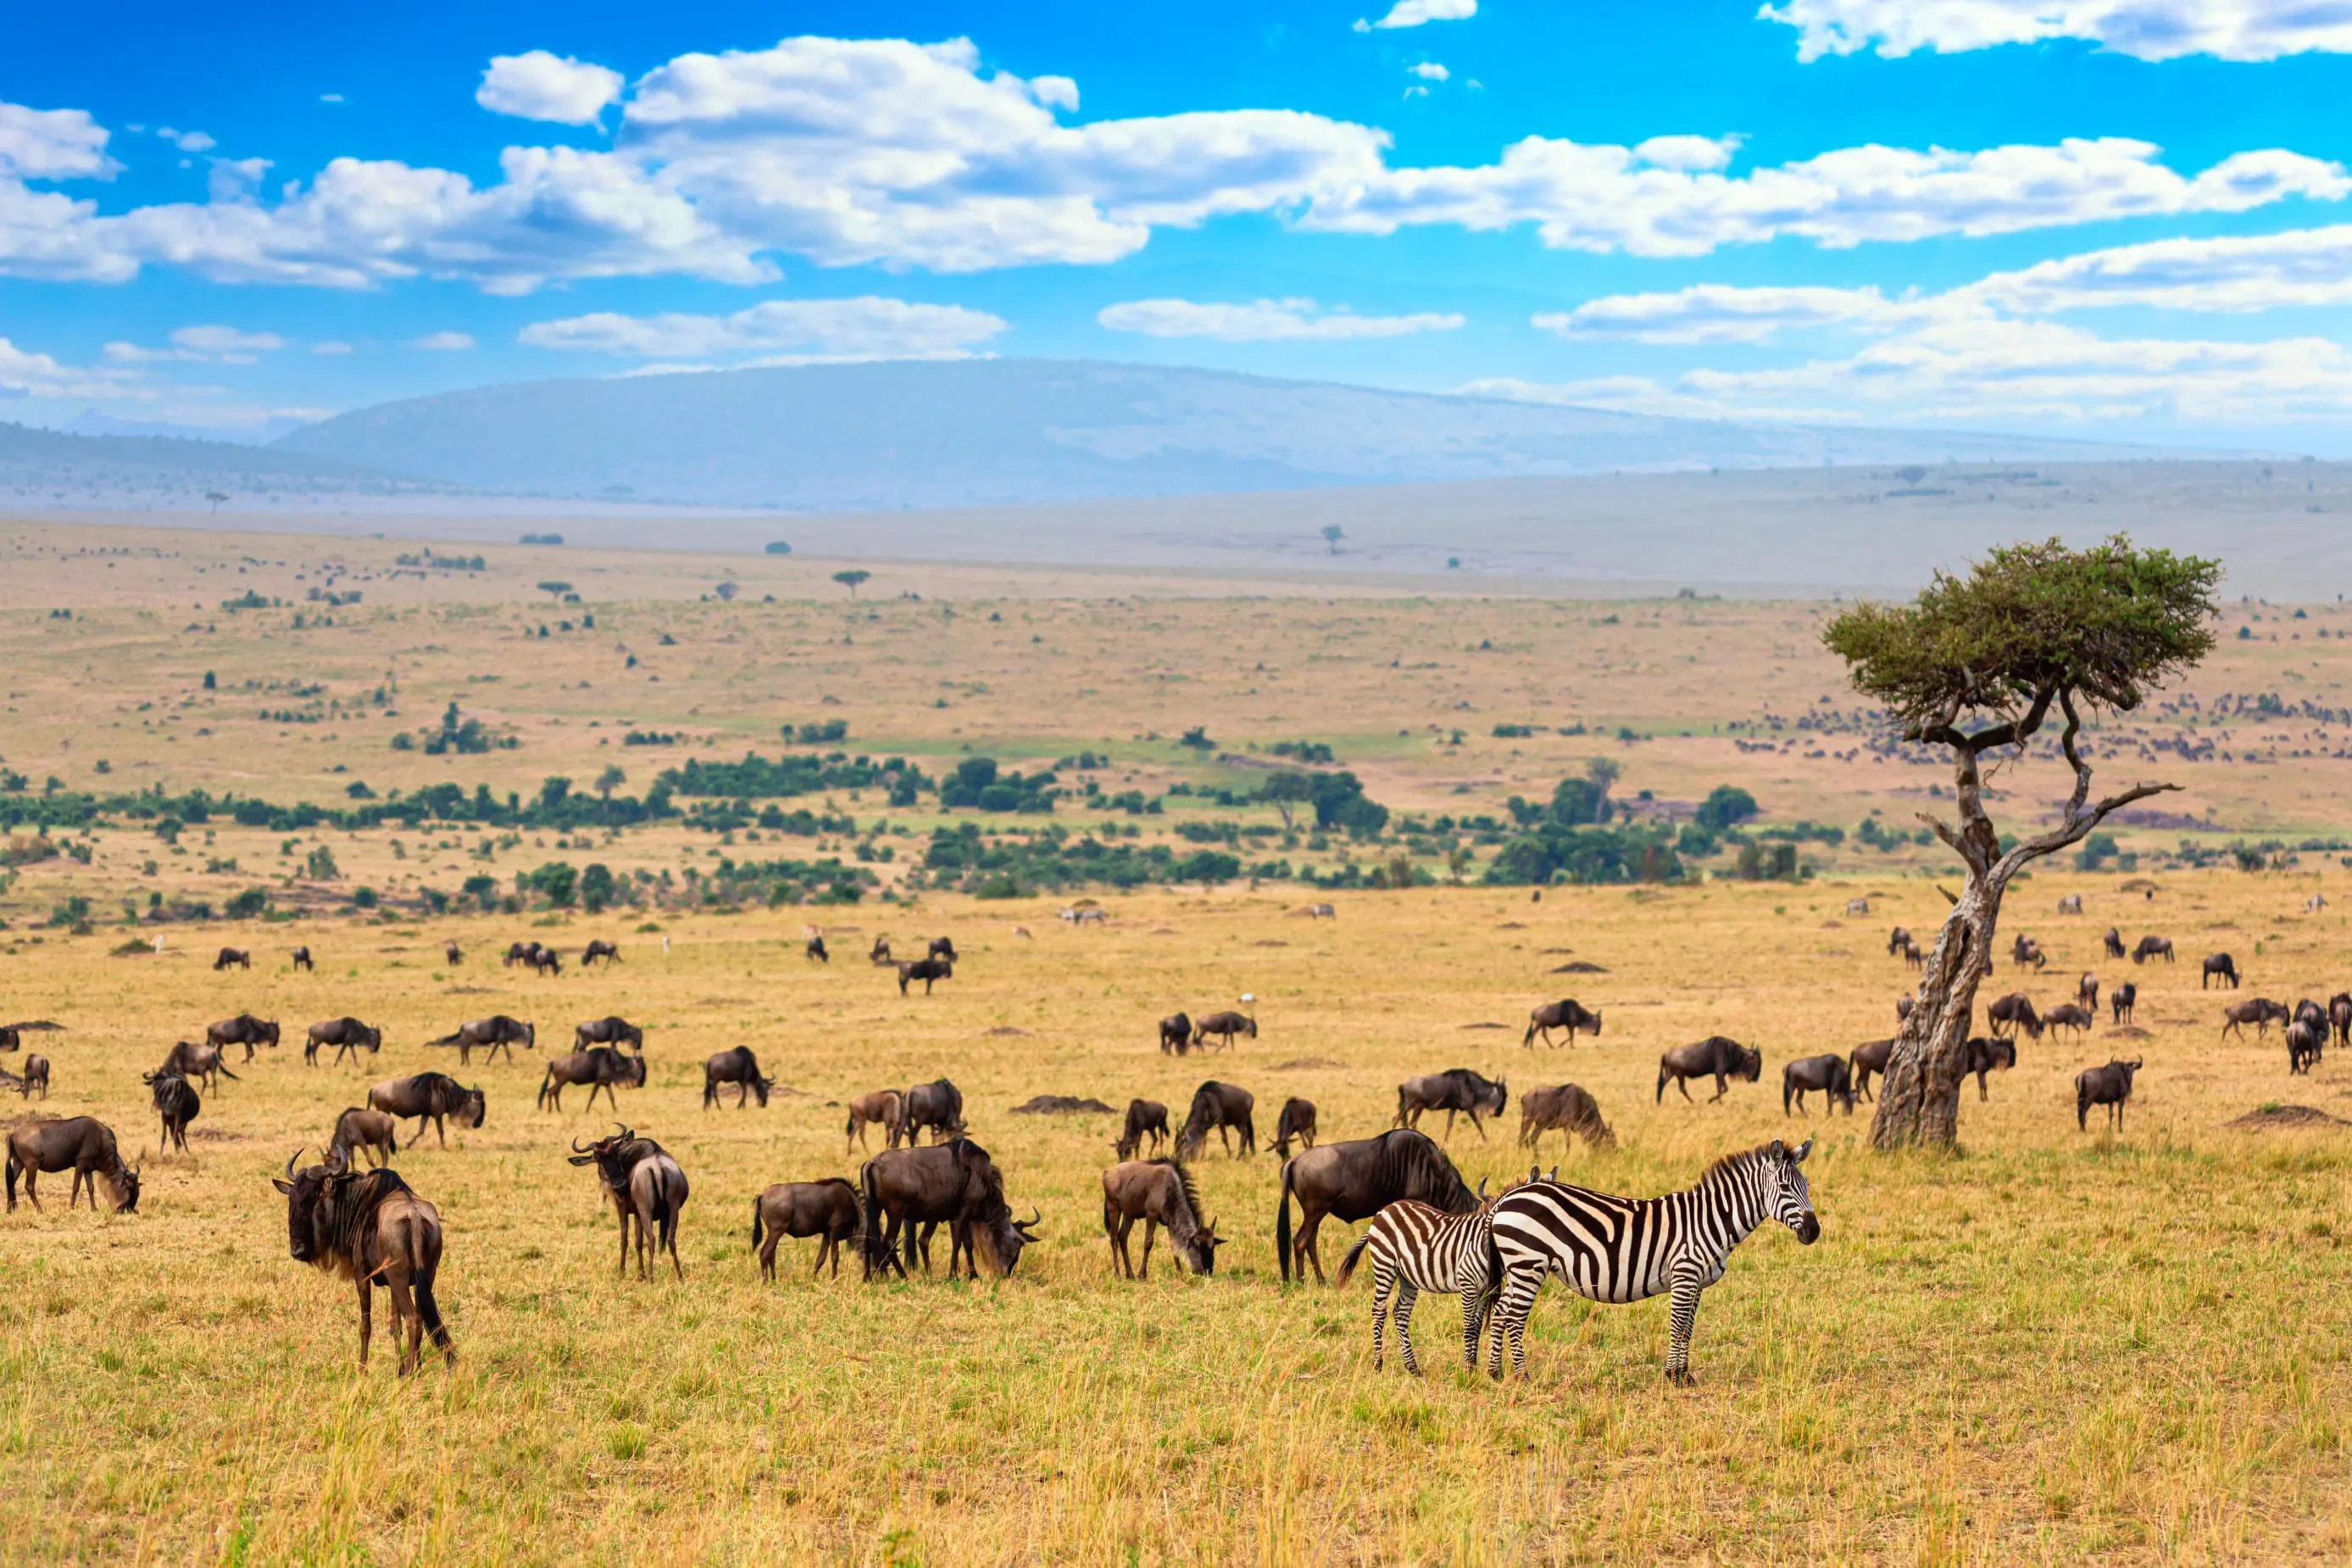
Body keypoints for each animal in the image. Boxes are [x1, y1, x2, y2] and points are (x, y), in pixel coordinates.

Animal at [1335, 1199, 1502, 1374]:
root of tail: (1384, 1210)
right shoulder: (1467, 1283)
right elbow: (1470, 1328)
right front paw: (1468, 1370)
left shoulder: (1484, 1290)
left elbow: (1477, 1328)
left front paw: (1473, 1367)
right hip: (1384, 1264)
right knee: (1379, 1311)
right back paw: (1378, 1364)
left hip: (1407, 1277)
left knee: (1400, 1313)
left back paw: (1412, 1367)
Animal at [1487, 1138, 1819, 1385]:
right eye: (1785, 1188)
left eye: (1807, 1186)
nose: (1814, 1232)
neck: (1709, 1220)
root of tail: (1507, 1198)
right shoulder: (1684, 1274)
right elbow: (1678, 1325)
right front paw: (1672, 1376)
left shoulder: (1697, 1283)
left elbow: (1688, 1328)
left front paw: (1684, 1375)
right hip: (1529, 1263)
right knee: (1514, 1317)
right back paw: (1522, 1376)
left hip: (1519, 1267)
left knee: (1501, 1311)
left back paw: (1495, 1372)